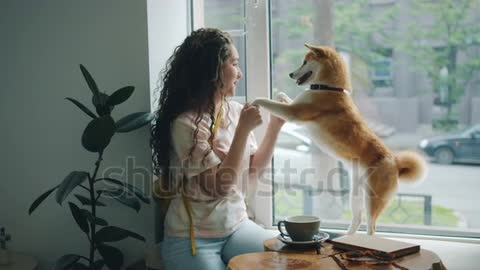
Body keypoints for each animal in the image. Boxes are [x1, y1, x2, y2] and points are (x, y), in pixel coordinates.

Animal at [253, 44, 426, 234]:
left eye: (305, 62)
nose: (291, 74)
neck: (328, 88)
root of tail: (395, 163)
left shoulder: (294, 112)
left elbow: (269, 102)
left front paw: (255, 101)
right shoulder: (296, 108)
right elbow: (282, 97)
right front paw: (277, 96)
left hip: (372, 199)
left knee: (371, 227)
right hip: (356, 195)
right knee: (357, 220)